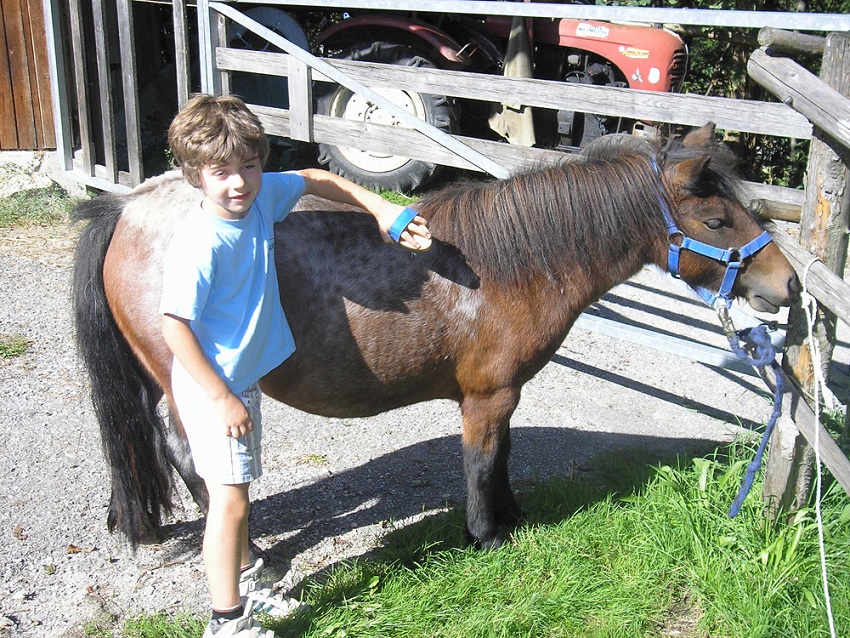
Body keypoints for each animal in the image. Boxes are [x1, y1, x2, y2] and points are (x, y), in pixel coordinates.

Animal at [71, 125, 796, 552]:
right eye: (716, 219)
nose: (788, 285)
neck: (511, 264)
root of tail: (127, 208)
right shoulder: (487, 396)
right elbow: (480, 462)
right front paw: (486, 535)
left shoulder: (501, 396)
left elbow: (502, 458)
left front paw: (512, 516)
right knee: (189, 456)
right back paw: (247, 551)